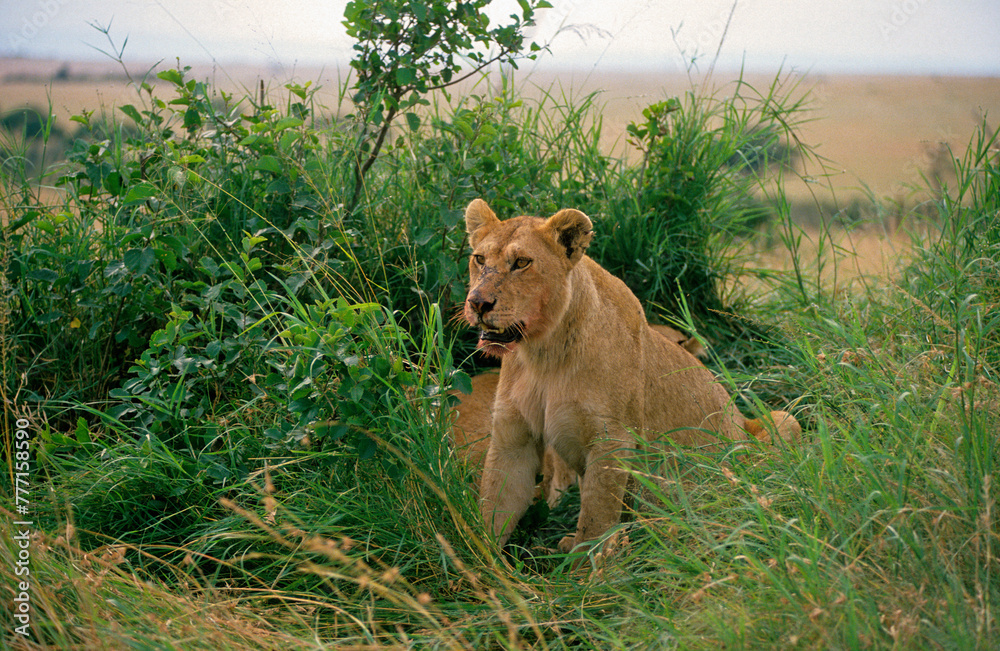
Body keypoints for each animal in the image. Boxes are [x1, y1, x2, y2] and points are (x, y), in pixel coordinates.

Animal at [461, 198, 800, 553]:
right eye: (480, 259)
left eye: (522, 262)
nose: (478, 303)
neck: (542, 354)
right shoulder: (513, 439)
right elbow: (492, 510)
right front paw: (481, 562)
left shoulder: (611, 440)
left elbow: (595, 523)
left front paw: (586, 564)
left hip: (783, 421)